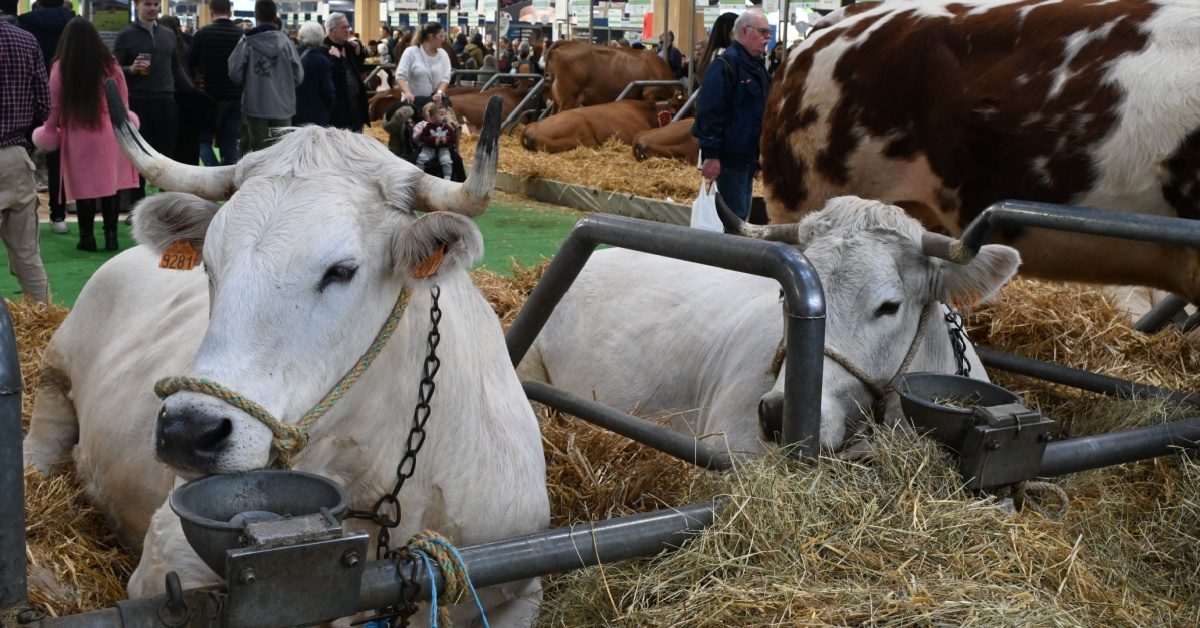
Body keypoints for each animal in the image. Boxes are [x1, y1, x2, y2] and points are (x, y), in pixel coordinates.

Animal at [22, 91, 550, 625]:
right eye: (209, 262)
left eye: (342, 270)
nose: (187, 431)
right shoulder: (166, 565)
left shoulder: (524, 585)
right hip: (53, 371)